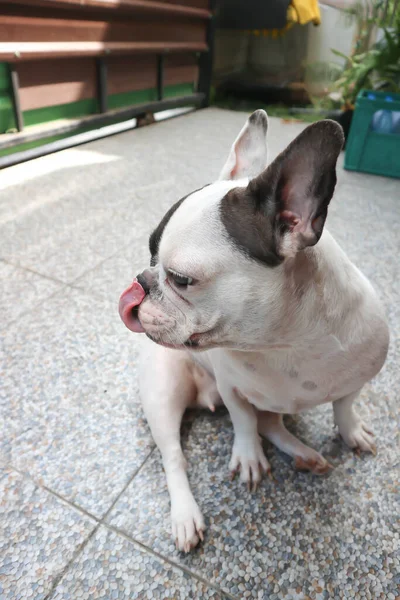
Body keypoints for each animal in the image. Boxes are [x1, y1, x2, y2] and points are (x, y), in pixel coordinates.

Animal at [118, 112, 388, 552]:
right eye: (150, 254)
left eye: (180, 279)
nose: (139, 282)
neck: (287, 341)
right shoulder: (233, 388)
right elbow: (243, 419)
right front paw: (247, 457)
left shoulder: (359, 376)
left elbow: (344, 406)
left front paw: (350, 431)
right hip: (162, 391)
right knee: (175, 456)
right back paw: (185, 516)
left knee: (272, 423)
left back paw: (303, 454)